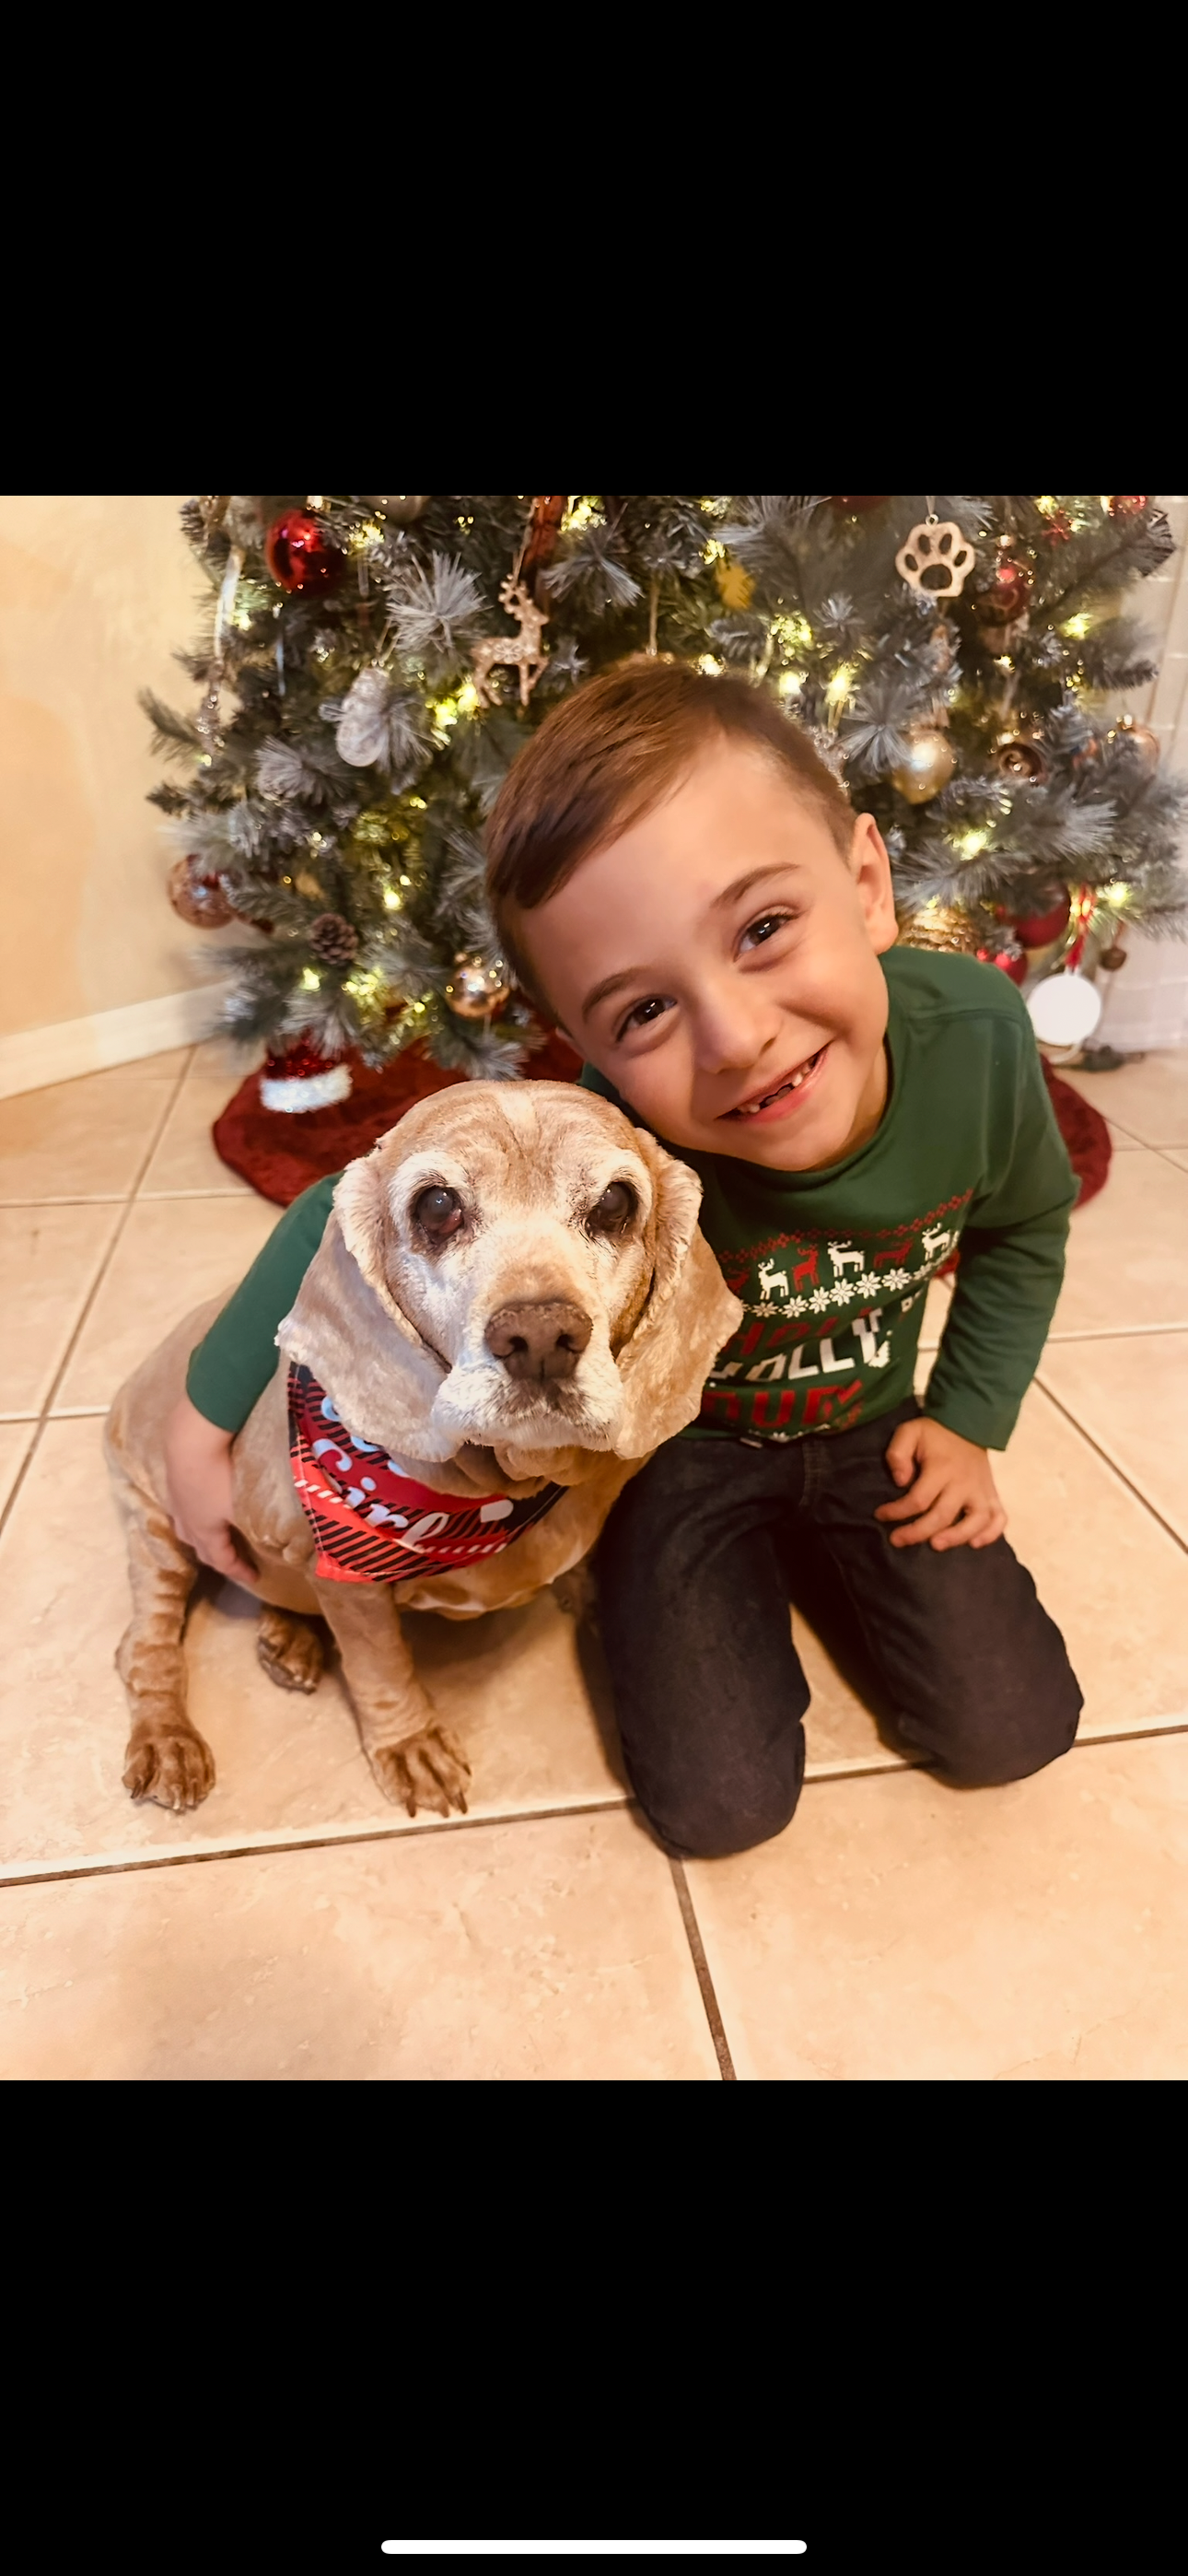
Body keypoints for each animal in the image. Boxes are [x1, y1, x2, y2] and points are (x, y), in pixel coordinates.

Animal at [105, 1082, 742, 1818]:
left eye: (615, 1203)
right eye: (437, 1206)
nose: (540, 1337)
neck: (504, 1488)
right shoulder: (347, 1580)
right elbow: (380, 1664)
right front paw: (410, 1743)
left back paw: (288, 1636)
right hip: (153, 1520)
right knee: (143, 1648)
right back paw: (168, 1738)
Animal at [471, 577, 550, 709]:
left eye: (535, 609)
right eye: (533, 613)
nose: (546, 618)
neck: (530, 640)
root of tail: (472, 651)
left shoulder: (523, 663)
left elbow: (525, 677)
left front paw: (525, 696)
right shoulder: (530, 658)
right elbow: (544, 663)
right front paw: (527, 692)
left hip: (484, 663)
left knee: (481, 679)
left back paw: (496, 700)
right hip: (485, 661)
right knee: (476, 679)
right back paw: (485, 703)